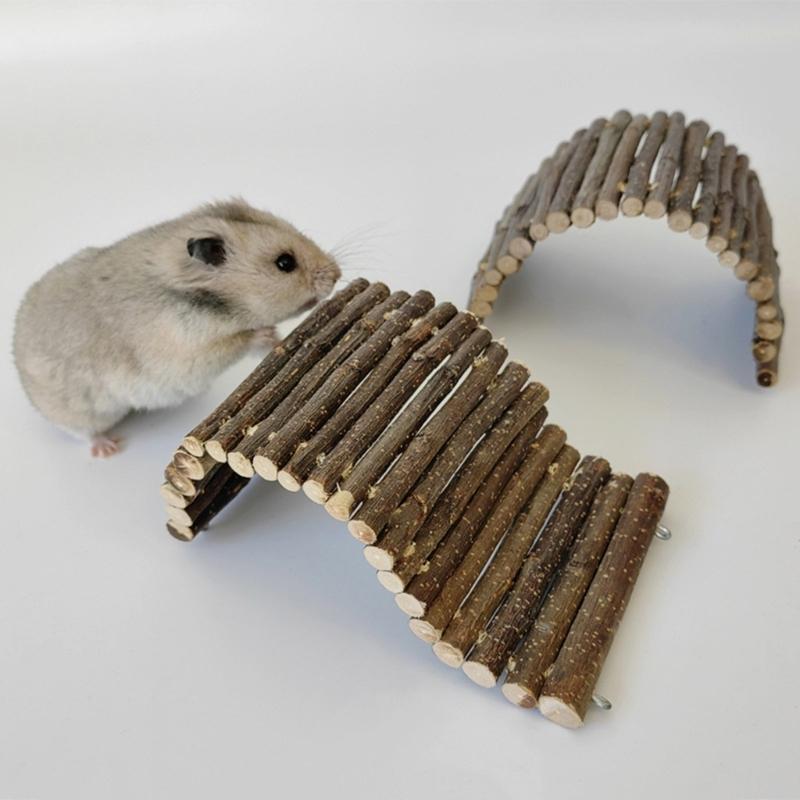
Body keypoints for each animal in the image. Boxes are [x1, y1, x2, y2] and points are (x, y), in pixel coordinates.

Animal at [13, 198, 341, 457]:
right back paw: (107, 448)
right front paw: (267, 334)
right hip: (78, 411)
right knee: (83, 431)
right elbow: (238, 341)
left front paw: (278, 339)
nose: (337, 274)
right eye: (285, 263)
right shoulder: (187, 355)